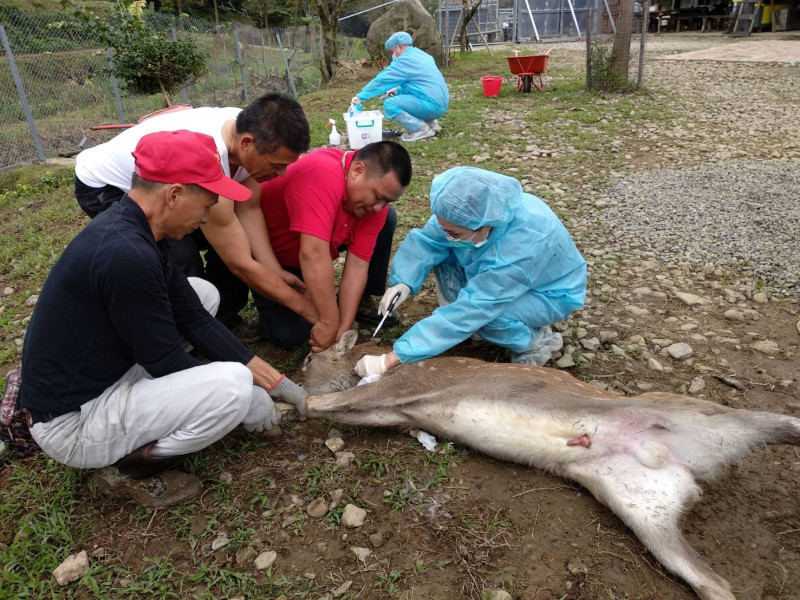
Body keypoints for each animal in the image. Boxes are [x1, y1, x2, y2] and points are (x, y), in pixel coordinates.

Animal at [290, 328, 800, 600]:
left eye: (312, 355)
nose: (296, 367)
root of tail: (685, 472)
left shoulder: (405, 385)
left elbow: (327, 402)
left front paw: (290, 402)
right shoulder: (396, 412)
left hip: (696, 414)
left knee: (782, 420)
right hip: (642, 506)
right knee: (714, 582)